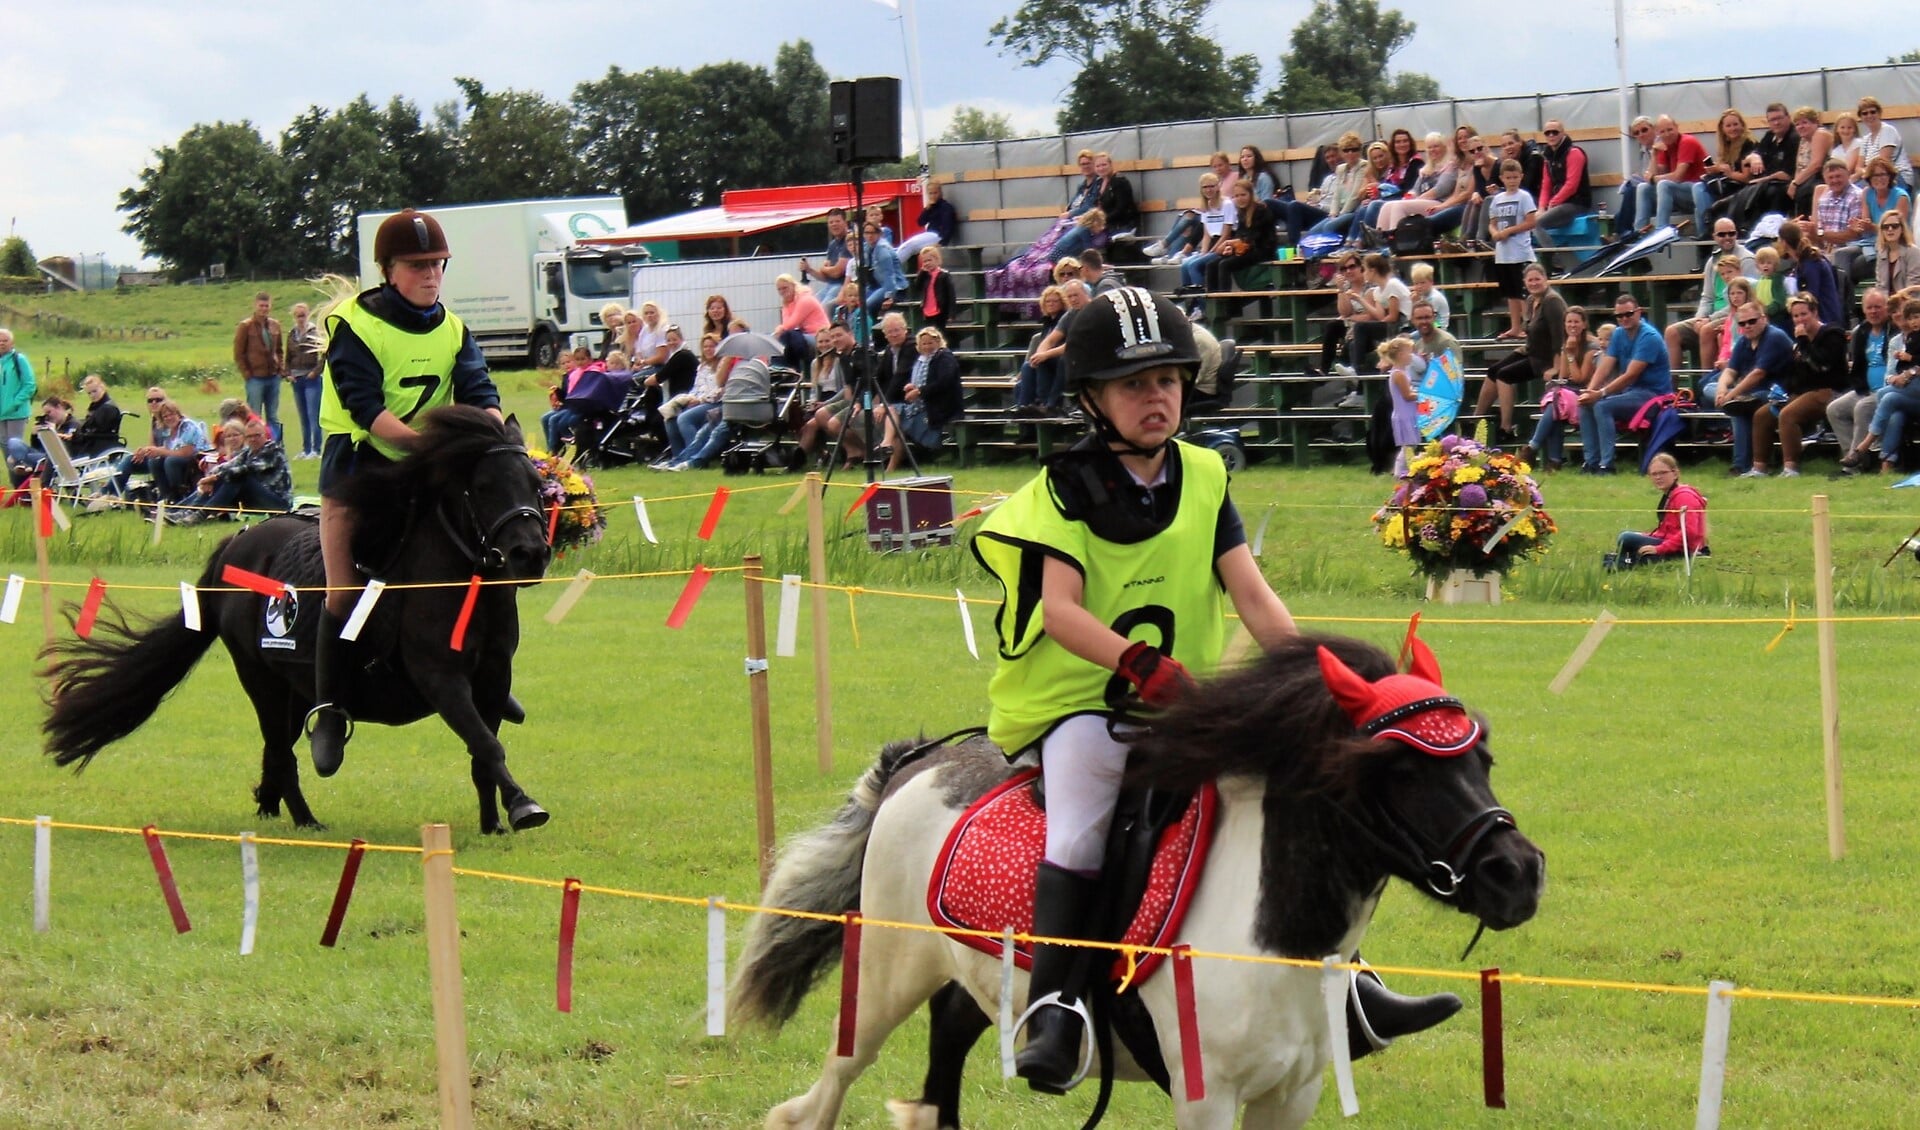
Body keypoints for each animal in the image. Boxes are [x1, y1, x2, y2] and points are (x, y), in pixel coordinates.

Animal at [43, 410, 556, 832]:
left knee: (277, 751)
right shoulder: (441, 679)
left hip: (294, 688)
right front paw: (524, 807)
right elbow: (486, 745)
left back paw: (273, 807)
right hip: (262, 681)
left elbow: (482, 750)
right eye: (484, 487)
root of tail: (236, 543)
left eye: (536, 483)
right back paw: (306, 818)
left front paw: (494, 823)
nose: (530, 554)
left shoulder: (492, 679)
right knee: (280, 749)